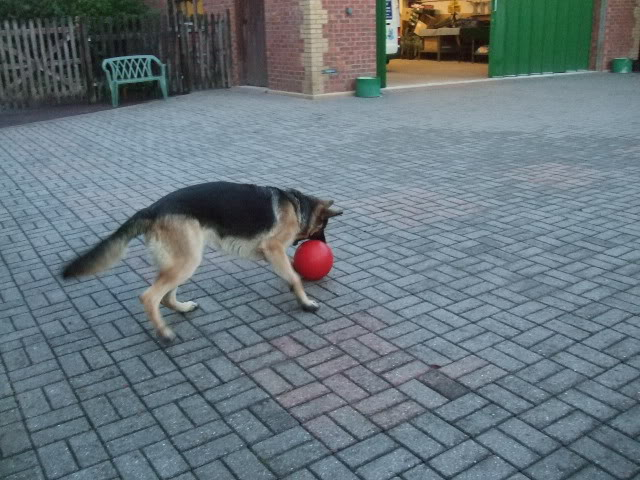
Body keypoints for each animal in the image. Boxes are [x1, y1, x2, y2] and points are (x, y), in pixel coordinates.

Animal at [62, 181, 342, 342]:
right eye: (323, 228)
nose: (325, 245)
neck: (296, 205)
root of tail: (152, 209)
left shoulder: (275, 254)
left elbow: (289, 273)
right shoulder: (273, 249)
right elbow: (294, 275)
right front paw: (305, 302)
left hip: (182, 262)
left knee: (165, 296)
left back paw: (182, 308)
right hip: (187, 261)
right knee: (150, 297)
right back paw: (164, 333)